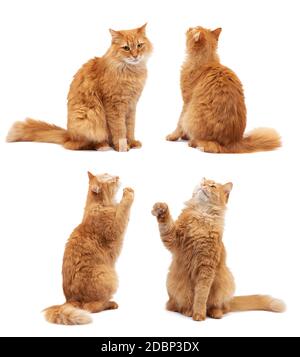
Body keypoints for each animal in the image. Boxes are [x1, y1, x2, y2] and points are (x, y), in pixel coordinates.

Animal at [7, 23, 152, 152]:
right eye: (126, 48)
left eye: (139, 45)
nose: (135, 55)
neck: (131, 72)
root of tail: (68, 135)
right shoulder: (114, 106)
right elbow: (120, 129)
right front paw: (122, 146)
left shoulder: (131, 105)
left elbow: (130, 128)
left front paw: (132, 142)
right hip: (89, 117)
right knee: (79, 145)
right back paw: (102, 146)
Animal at [44, 171, 134, 324]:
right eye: (110, 179)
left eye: (108, 173)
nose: (117, 177)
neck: (100, 205)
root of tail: (69, 299)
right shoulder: (115, 230)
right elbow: (123, 209)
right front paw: (128, 193)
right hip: (108, 276)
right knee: (91, 307)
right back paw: (110, 304)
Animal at [151, 178, 284, 320]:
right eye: (203, 182)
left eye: (212, 186)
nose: (203, 185)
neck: (201, 216)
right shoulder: (173, 238)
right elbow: (166, 225)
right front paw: (161, 209)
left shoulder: (206, 266)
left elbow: (201, 295)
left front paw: (199, 314)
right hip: (173, 283)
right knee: (175, 306)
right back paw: (187, 311)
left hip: (225, 282)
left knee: (222, 307)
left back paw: (214, 313)